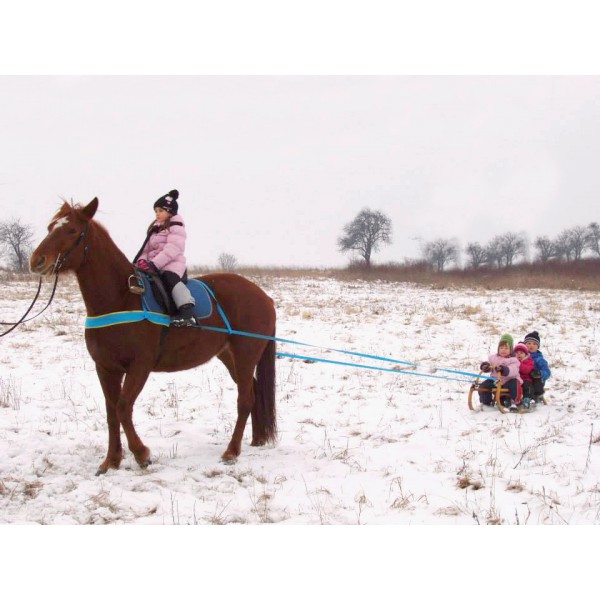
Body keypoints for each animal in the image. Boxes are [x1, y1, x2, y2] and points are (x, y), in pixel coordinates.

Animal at [29, 199, 278, 476]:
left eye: (72, 230)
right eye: (50, 227)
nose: (37, 261)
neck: (121, 297)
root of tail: (263, 296)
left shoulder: (140, 366)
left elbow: (123, 407)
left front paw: (141, 454)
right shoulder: (105, 368)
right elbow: (111, 412)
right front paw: (111, 460)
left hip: (245, 355)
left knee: (245, 399)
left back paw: (232, 451)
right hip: (228, 356)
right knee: (253, 391)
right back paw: (256, 439)